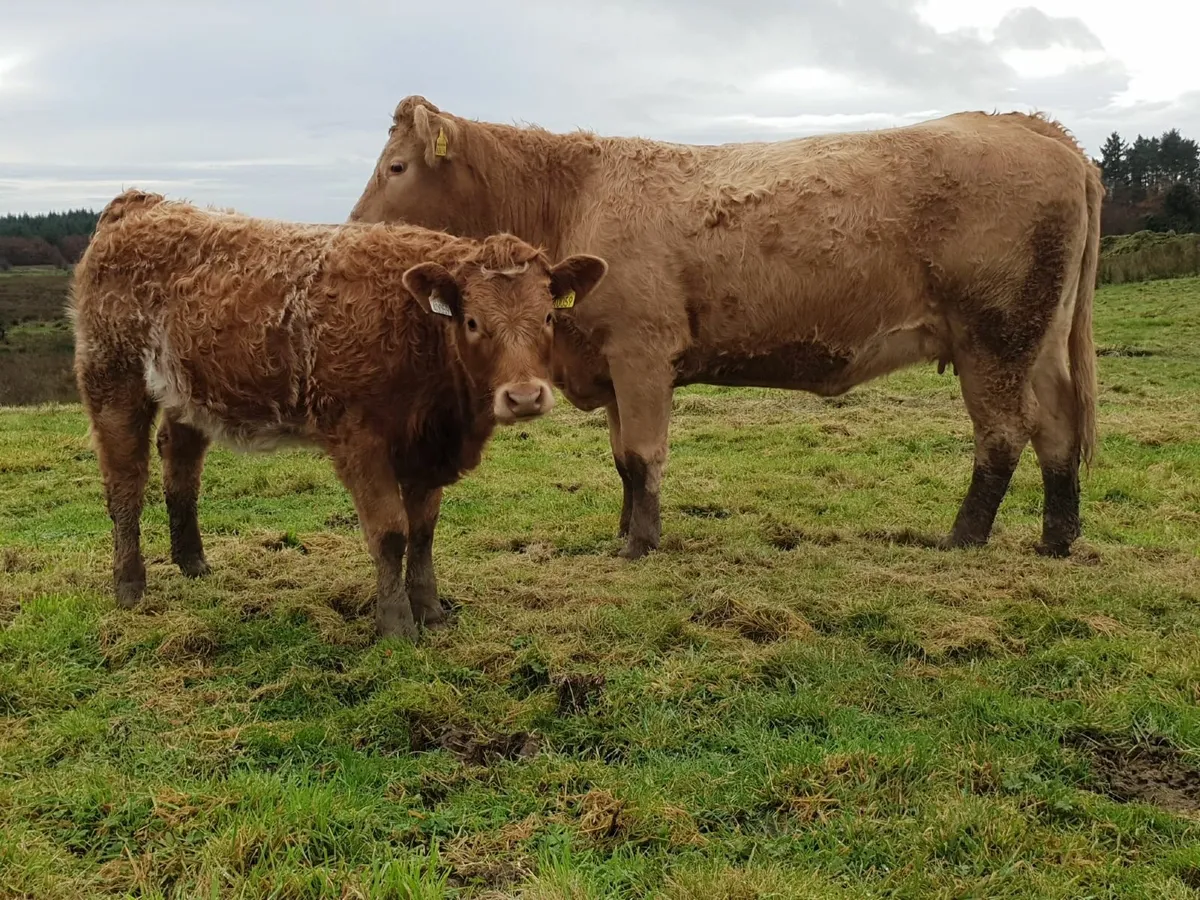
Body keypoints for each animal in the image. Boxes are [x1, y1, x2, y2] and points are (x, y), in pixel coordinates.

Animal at [69, 188, 608, 640]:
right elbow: (391, 532)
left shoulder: (425, 448)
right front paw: (397, 625)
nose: (525, 397)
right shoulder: (359, 440)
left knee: (179, 462)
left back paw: (193, 562)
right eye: (473, 322)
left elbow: (424, 531)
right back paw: (130, 587)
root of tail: (141, 202)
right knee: (124, 482)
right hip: (111, 377)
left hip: (186, 389)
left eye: (548, 316)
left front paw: (430, 610)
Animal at [348, 99, 1102, 561]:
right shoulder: (613, 365)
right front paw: (625, 533)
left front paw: (641, 545)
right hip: (1036, 341)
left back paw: (963, 538)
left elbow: (644, 455)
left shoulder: (642, 353)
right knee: (1058, 427)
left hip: (994, 337)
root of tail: (1027, 126)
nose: (353, 231)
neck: (575, 196)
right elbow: (621, 461)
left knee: (1003, 434)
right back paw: (1058, 537)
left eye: (396, 166)